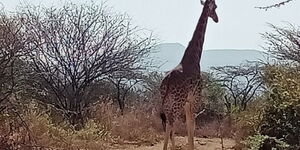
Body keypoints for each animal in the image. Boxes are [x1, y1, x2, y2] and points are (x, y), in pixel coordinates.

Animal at [159, 0, 218, 149]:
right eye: (215, 7)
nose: (217, 19)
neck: (194, 57)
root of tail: (167, 82)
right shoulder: (196, 97)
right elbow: (192, 125)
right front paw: (191, 146)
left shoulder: (187, 101)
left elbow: (188, 124)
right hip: (177, 102)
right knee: (171, 122)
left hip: (166, 101)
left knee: (167, 122)